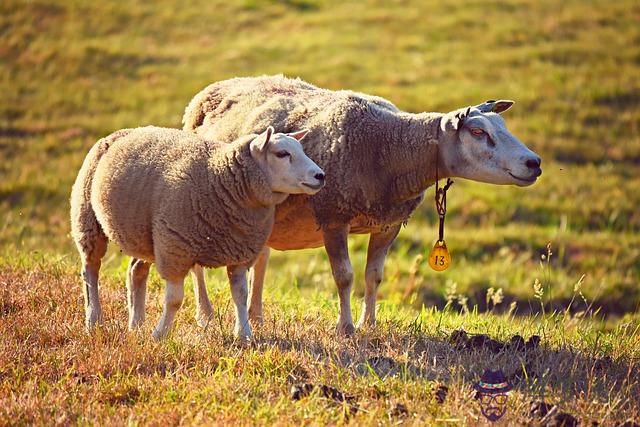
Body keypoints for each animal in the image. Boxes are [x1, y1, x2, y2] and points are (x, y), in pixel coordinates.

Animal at [70, 125, 324, 340]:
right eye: (282, 154)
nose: (320, 176)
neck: (219, 178)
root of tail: (121, 132)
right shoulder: (175, 248)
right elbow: (174, 300)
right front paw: (160, 335)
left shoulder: (240, 252)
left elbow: (240, 295)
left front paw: (244, 335)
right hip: (88, 219)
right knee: (90, 271)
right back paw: (94, 321)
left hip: (144, 235)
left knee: (135, 272)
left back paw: (136, 325)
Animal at [181, 76, 544, 338]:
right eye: (478, 131)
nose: (534, 163)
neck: (388, 148)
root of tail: (216, 86)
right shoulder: (333, 215)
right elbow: (344, 277)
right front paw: (346, 328)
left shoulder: (388, 223)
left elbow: (374, 276)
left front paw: (370, 323)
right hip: (201, 200)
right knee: (198, 263)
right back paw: (206, 314)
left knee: (261, 259)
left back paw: (256, 315)